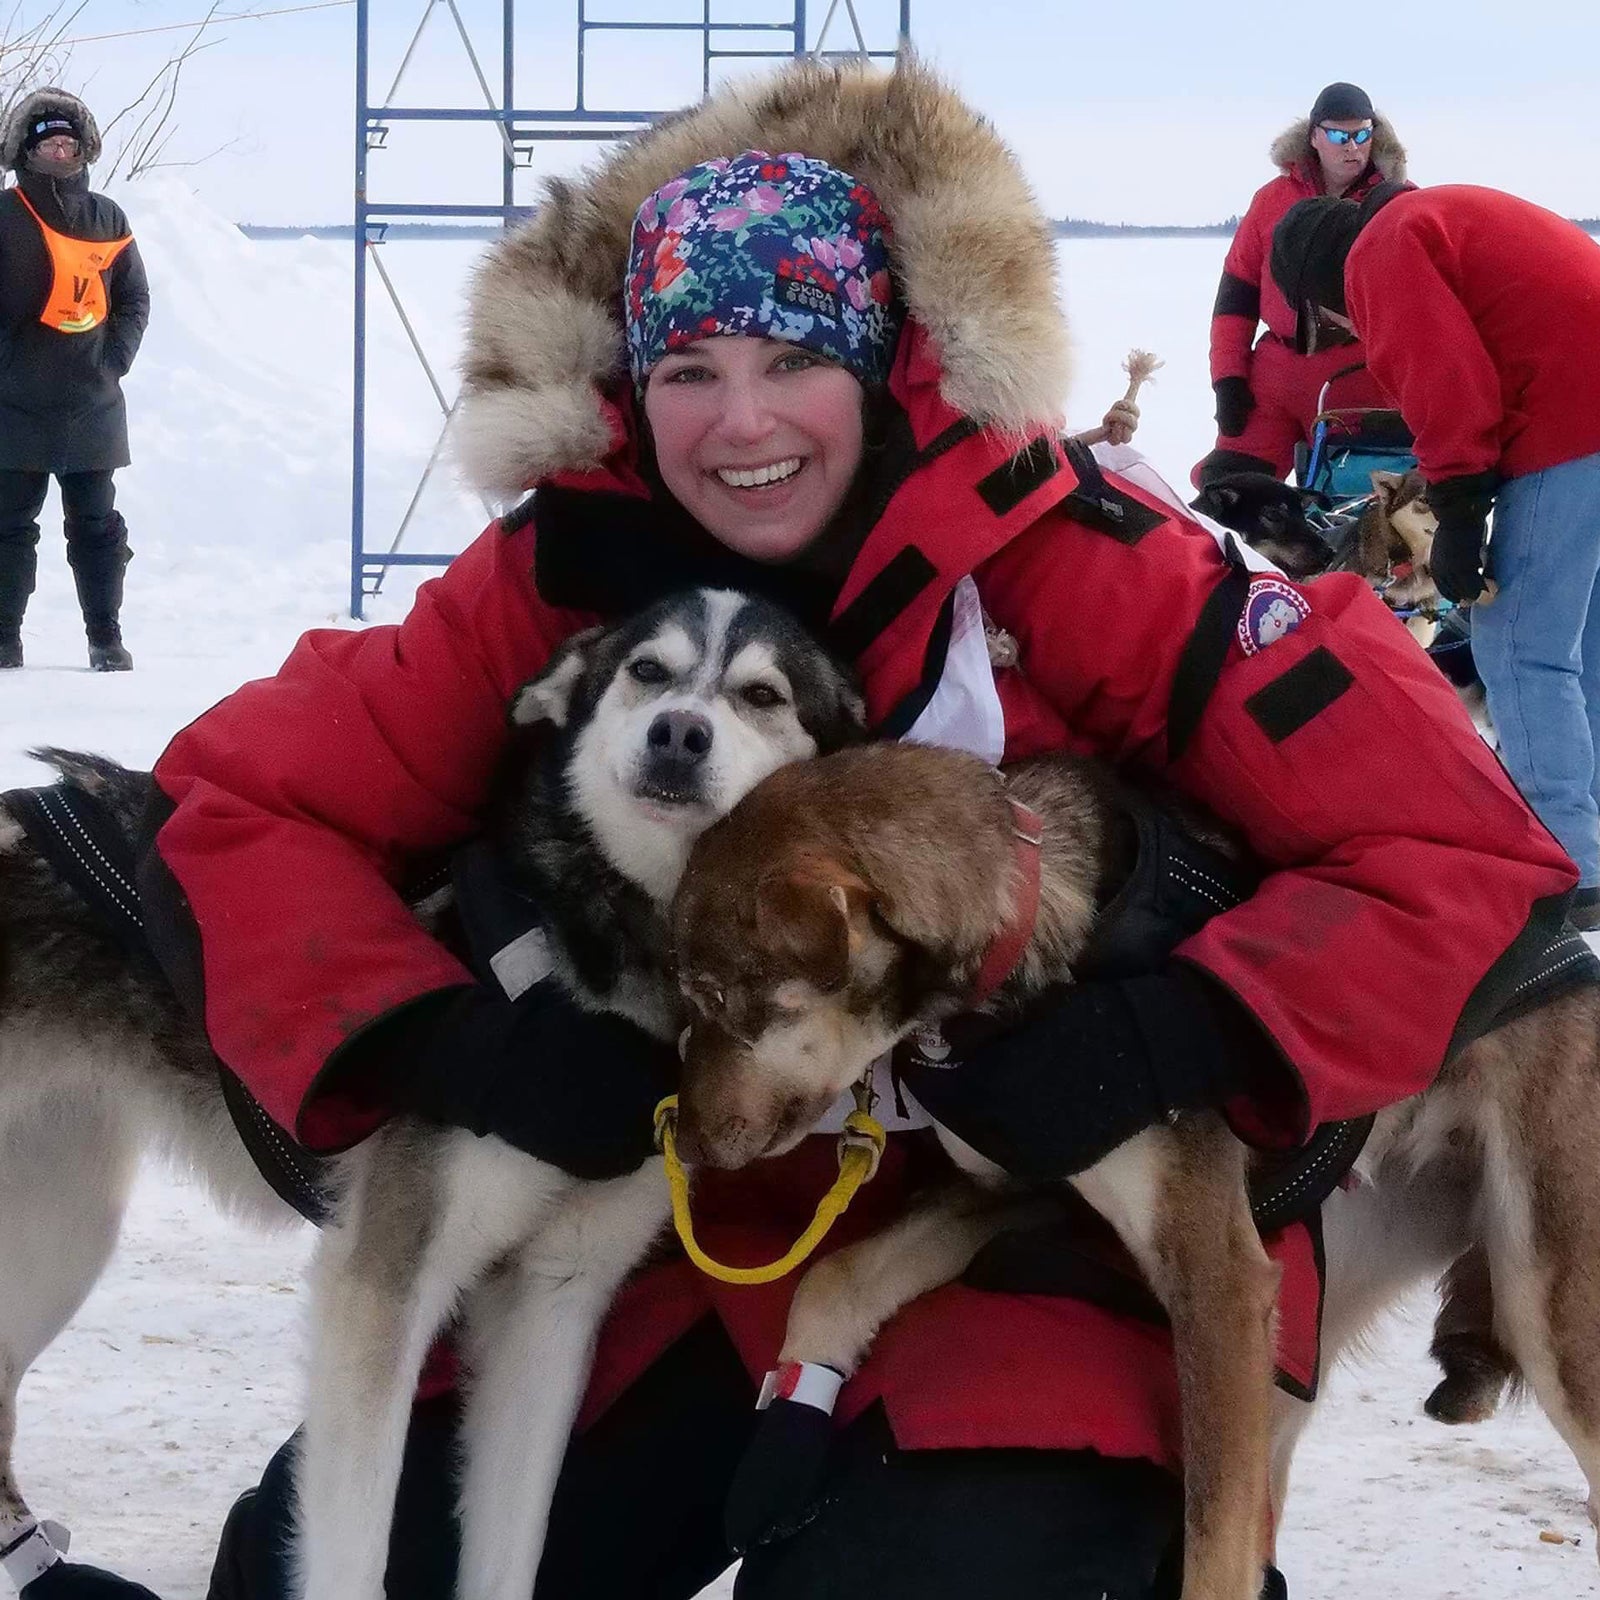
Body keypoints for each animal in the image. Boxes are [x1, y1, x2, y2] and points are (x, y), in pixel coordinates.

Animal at [0, 592, 864, 1600]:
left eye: (763, 695)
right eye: (647, 671)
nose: (678, 733)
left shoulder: (553, 1300)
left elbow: (510, 1551)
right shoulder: (384, 1286)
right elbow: (352, 1557)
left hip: (60, 1231)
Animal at [668, 742, 1600, 1593]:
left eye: (713, 995)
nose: (683, 1141)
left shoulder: (1216, 1277)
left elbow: (1211, 1553)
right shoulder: (1019, 1187)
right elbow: (834, 1279)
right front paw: (781, 1449)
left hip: (1544, 1318)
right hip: (1303, 1336)